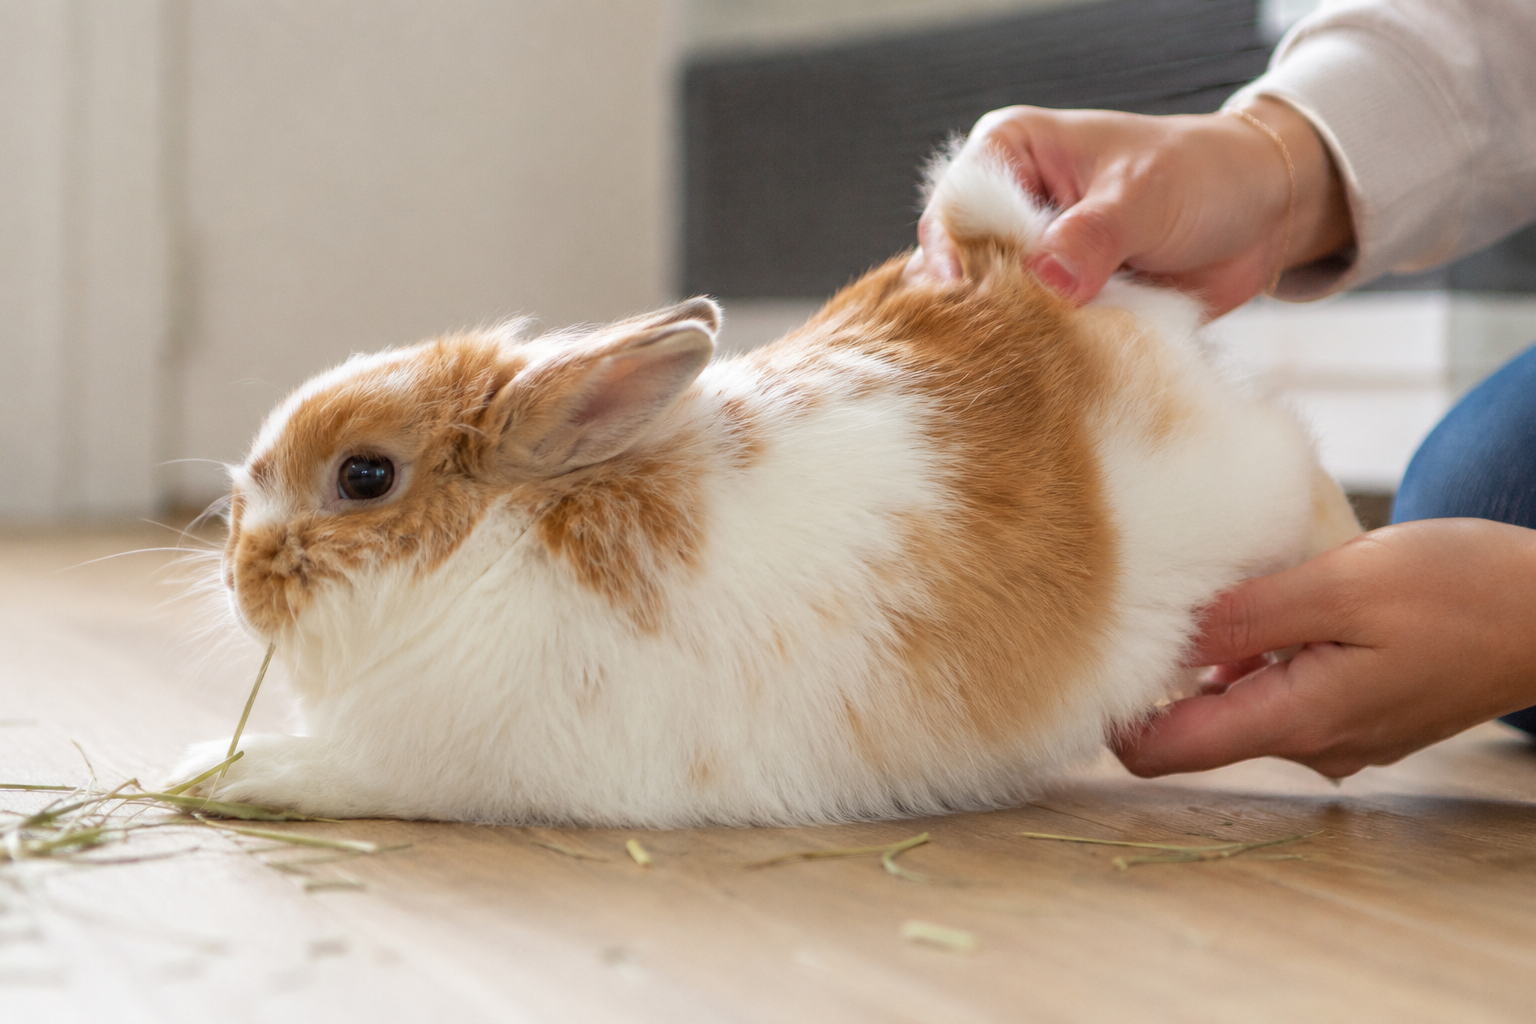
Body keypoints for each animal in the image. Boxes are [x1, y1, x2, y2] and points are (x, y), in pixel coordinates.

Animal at [172, 139, 1360, 826]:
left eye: (364, 476)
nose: (237, 575)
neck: (496, 543)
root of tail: (1051, 284)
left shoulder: (433, 767)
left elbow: (334, 771)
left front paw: (222, 772)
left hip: (1244, 491)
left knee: (1310, 475)